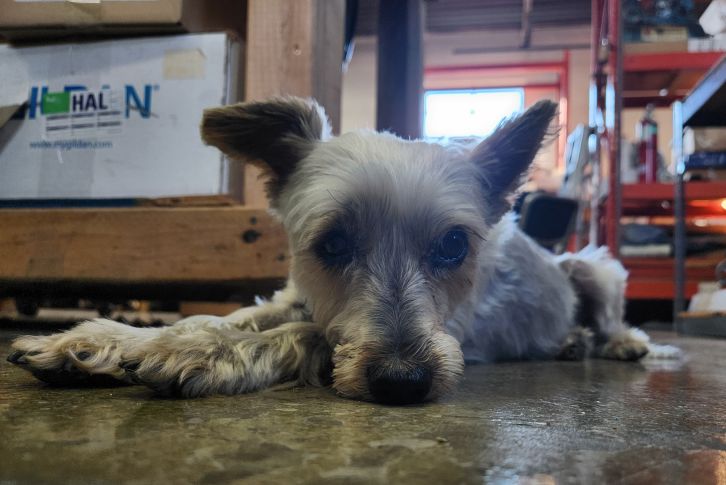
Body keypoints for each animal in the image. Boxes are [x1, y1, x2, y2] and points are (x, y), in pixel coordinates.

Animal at [7, 96, 676, 402]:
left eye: (454, 244)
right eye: (331, 242)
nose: (403, 382)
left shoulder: (450, 332)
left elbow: (302, 335)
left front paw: (199, 351)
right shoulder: (296, 294)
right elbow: (238, 316)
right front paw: (101, 338)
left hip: (596, 267)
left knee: (609, 316)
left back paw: (617, 342)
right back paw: (570, 342)